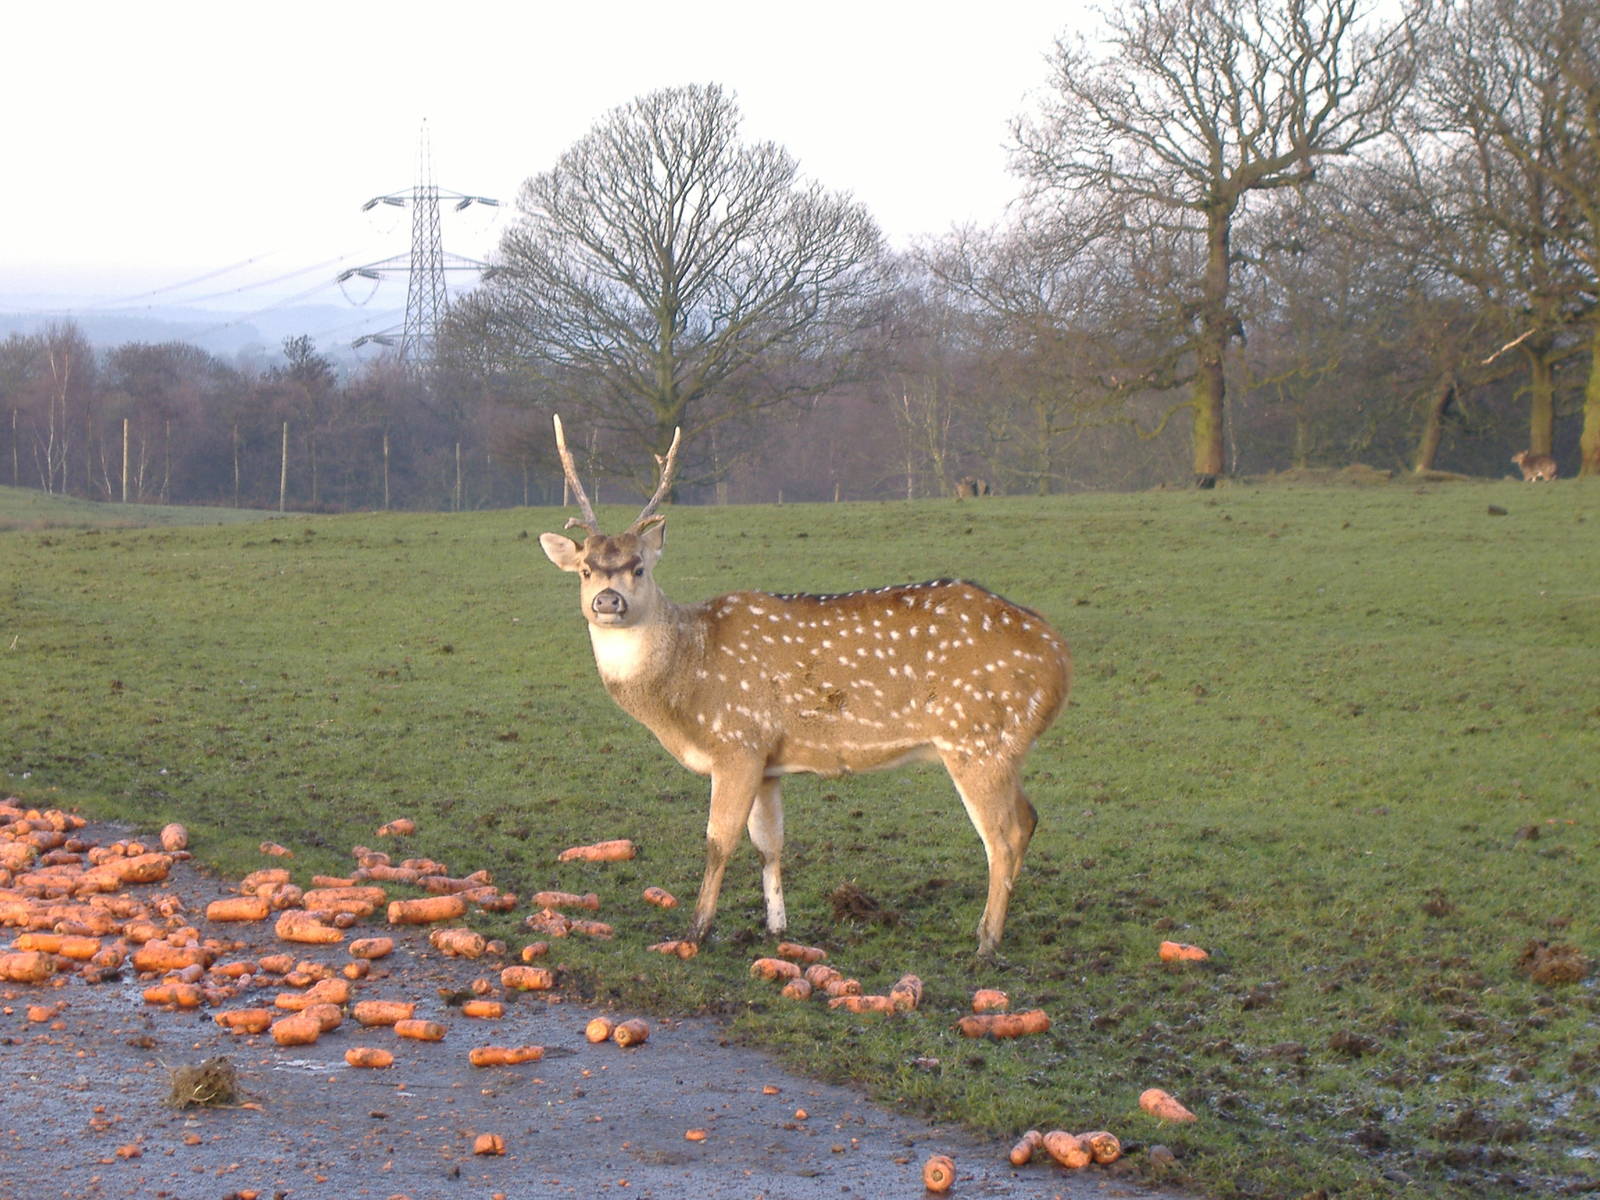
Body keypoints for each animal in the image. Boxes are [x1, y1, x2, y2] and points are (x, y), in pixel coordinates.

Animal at [538, 417, 1071, 956]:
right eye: (585, 569)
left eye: (639, 567)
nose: (608, 601)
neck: (686, 688)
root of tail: (1058, 656)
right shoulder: (768, 759)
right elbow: (769, 844)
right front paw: (776, 927)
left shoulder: (738, 741)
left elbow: (718, 841)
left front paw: (696, 930)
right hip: (1003, 745)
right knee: (1029, 818)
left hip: (976, 736)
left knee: (1003, 835)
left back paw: (986, 942)